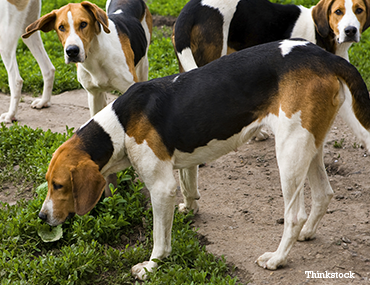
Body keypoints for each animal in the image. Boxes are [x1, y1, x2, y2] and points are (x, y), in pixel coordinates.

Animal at [23, 0, 152, 116]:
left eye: (83, 24)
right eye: (61, 27)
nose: (72, 51)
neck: (95, 57)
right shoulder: (94, 96)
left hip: (143, 65)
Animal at [36, 40, 370, 280]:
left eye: (60, 186)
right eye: (48, 183)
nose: (41, 217)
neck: (119, 125)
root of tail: (325, 57)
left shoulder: (161, 188)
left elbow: (160, 237)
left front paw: (152, 266)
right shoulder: (180, 165)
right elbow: (188, 182)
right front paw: (190, 207)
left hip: (290, 150)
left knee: (294, 215)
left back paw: (277, 259)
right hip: (309, 145)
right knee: (324, 193)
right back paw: (307, 234)